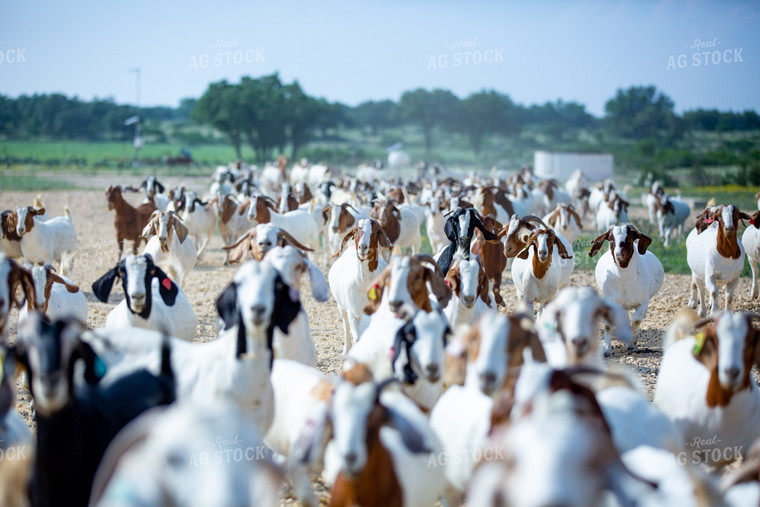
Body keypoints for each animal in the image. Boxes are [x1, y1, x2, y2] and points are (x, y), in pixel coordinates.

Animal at [592, 226, 664, 358]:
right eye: (611, 239)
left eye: (630, 238)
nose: (619, 254)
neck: (623, 279)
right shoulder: (610, 302)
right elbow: (608, 326)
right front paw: (606, 349)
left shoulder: (643, 303)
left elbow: (636, 321)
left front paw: (632, 343)